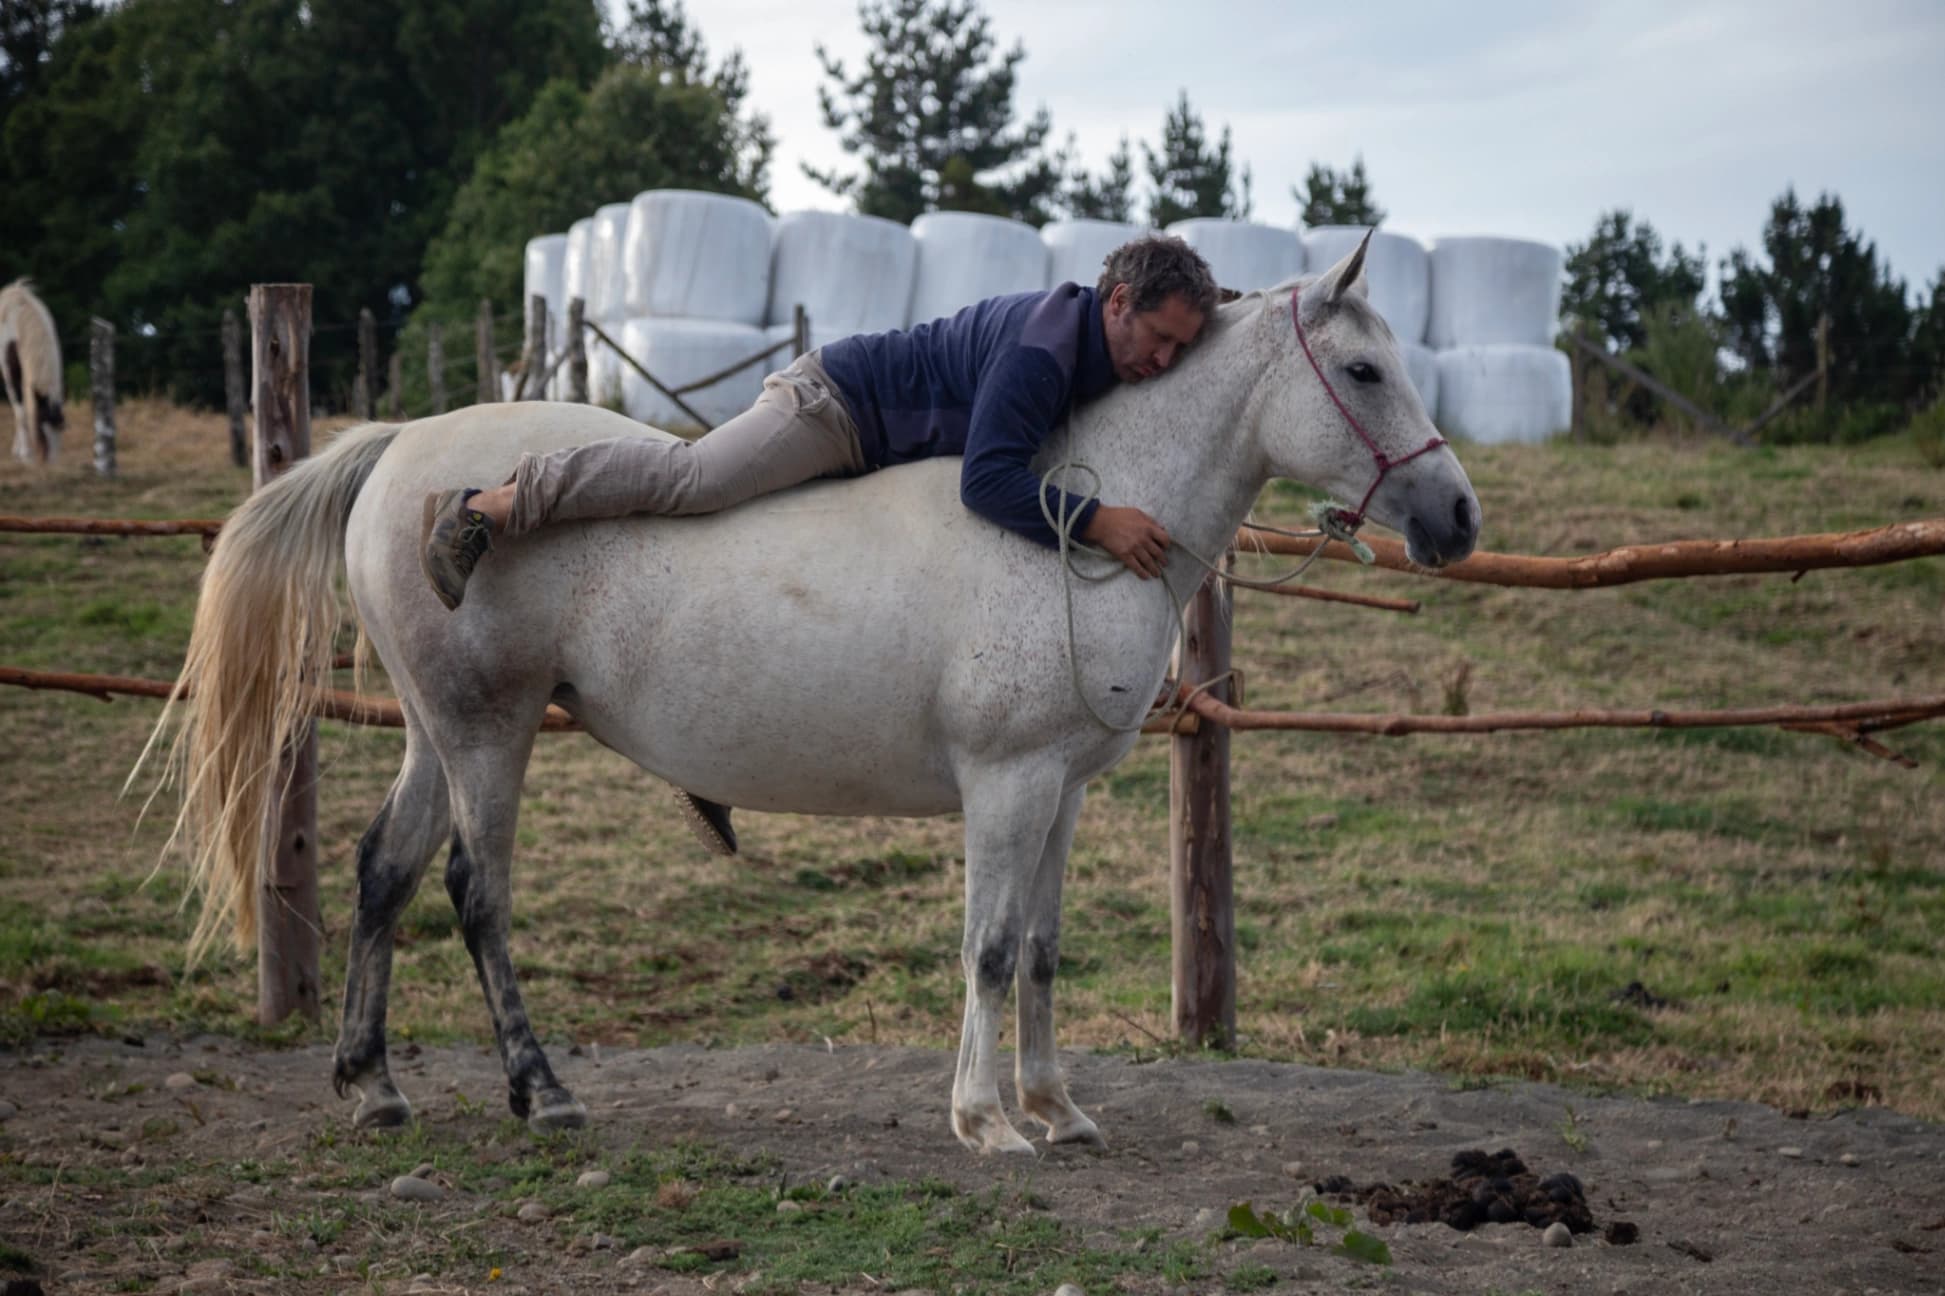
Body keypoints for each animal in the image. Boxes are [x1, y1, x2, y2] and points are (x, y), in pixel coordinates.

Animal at [0, 279, 65, 464]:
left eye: (60, 428)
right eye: (41, 421)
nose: (50, 464)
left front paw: (20, 451)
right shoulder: (10, 373)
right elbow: (21, 413)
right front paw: (25, 455)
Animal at [145, 237, 1480, 1155]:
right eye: (1364, 368)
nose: (1458, 517)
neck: (1073, 517)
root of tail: (402, 451)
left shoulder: (1061, 792)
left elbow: (1044, 952)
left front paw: (1058, 1109)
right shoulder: (1005, 787)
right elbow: (991, 947)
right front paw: (987, 1121)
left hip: (440, 732)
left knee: (384, 871)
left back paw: (373, 1085)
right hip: (490, 733)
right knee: (476, 892)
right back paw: (543, 1090)